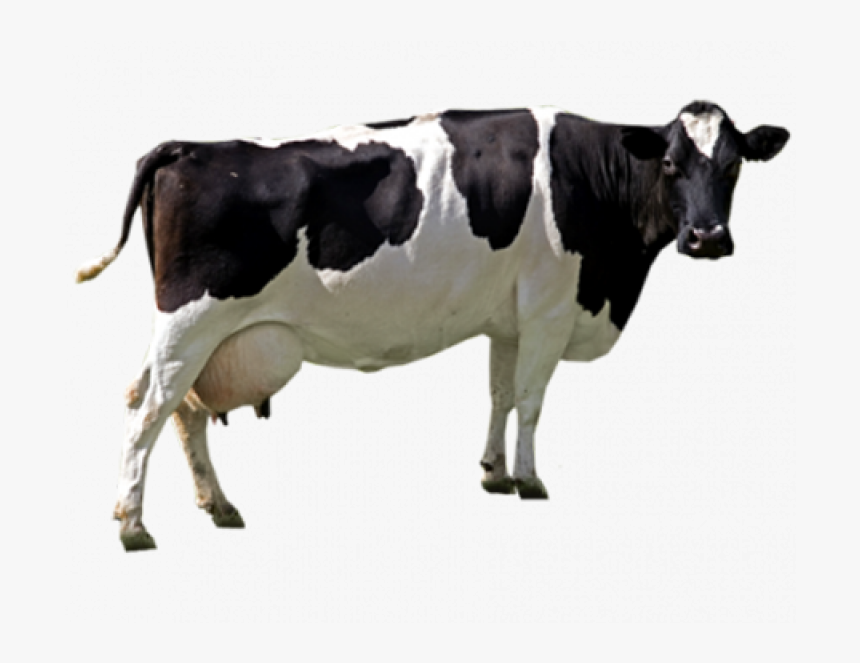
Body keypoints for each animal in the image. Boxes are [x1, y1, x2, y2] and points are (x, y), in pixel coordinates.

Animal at [77, 101, 789, 551]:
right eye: (670, 163)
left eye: (733, 164)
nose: (707, 237)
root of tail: (188, 147)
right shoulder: (549, 309)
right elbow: (531, 400)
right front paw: (530, 479)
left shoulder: (508, 320)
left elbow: (500, 393)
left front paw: (494, 472)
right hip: (192, 319)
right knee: (148, 407)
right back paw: (133, 526)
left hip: (204, 334)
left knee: (182, 410)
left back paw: (218, 506)